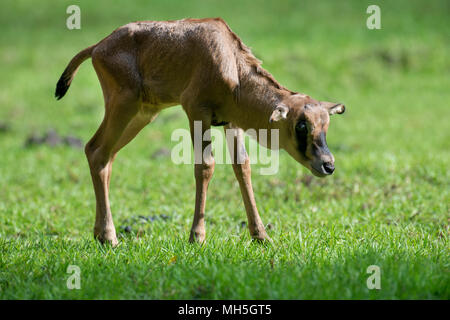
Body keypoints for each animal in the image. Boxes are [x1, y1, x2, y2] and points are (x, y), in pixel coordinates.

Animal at [56, 18, 344, 245]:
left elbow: (242, 166)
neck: (229, 59)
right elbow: (205, 166)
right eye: (301, 125)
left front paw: (261, 236)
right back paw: (110, 237)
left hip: (141, 114)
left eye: (326, 125)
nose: (327, 166)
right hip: (123, 107)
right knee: (96, 150)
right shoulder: (196, 112)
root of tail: (98, 47)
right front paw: (197, 236)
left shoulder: (230, 122)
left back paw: (102, 234)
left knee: (103, 155)